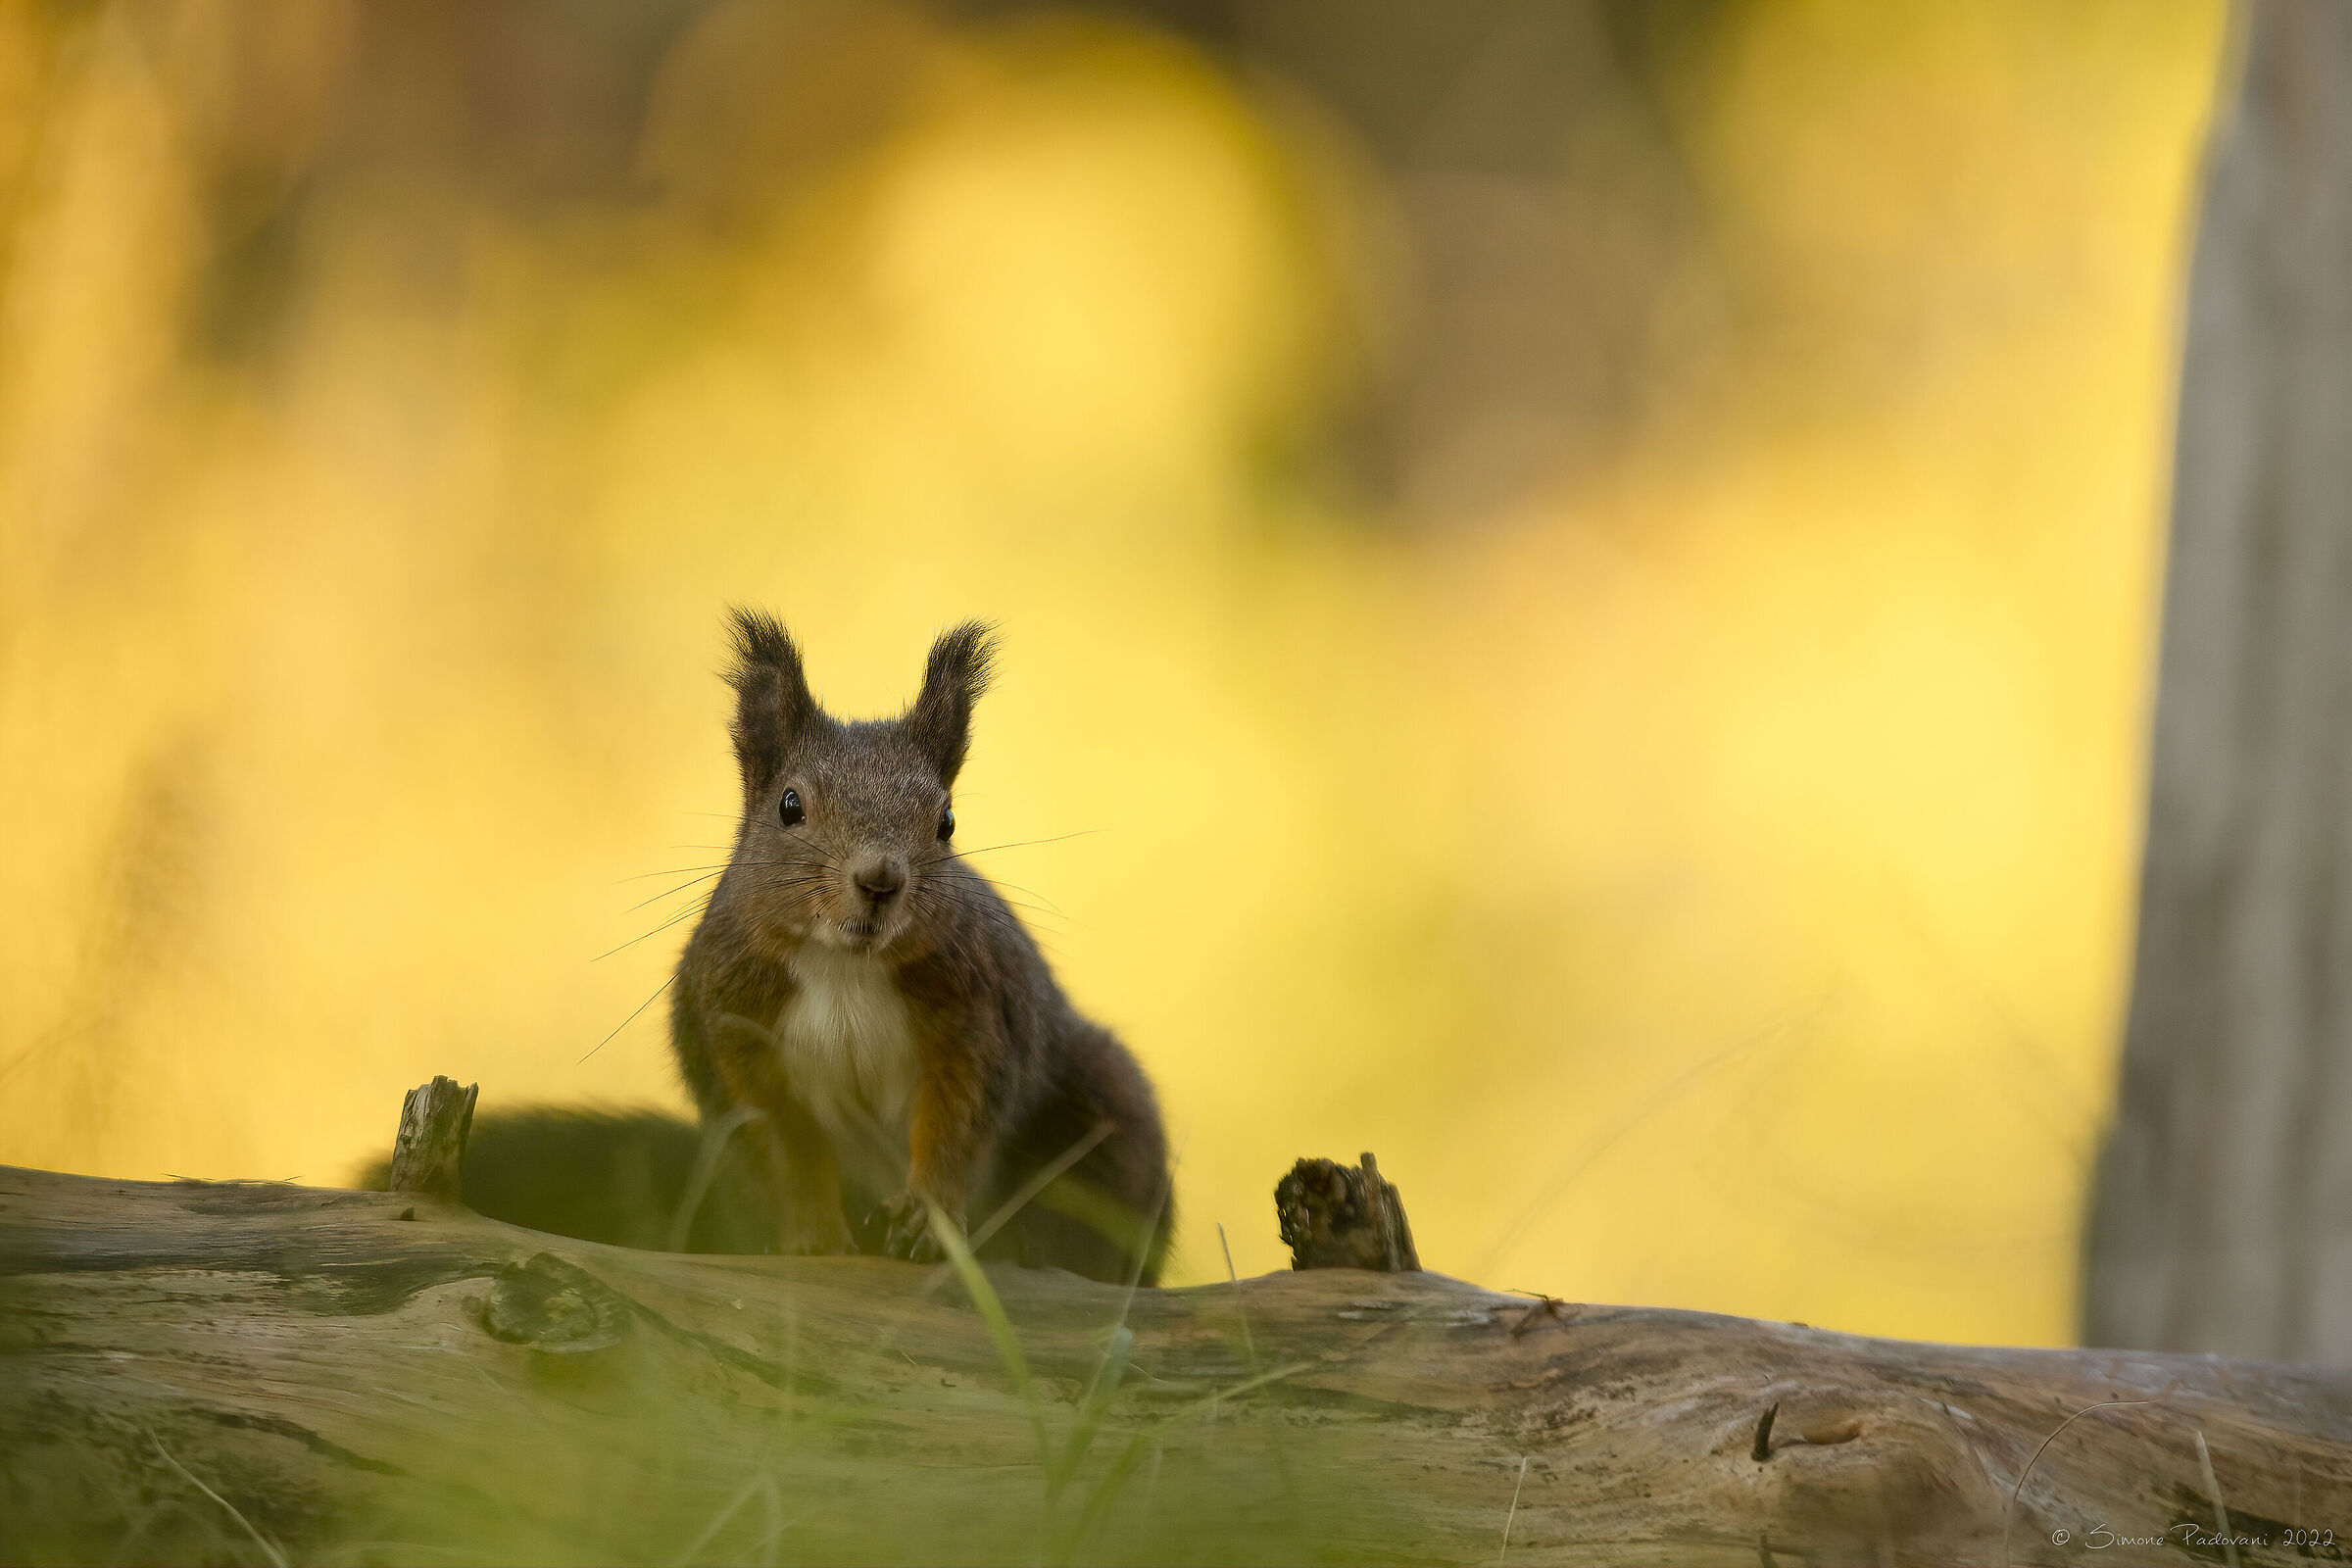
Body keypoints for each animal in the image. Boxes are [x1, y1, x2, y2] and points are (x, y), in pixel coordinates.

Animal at [366, 612, 1173, 1286]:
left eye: (945, 821)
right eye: (790, 806)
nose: (880, 881)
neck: (842, 966)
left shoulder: (978, 1015)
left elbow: (959, 1124)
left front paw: (923, 1217)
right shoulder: (736, 1031)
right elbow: (788, 1141)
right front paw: (812, 1234)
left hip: (1106, 1108)